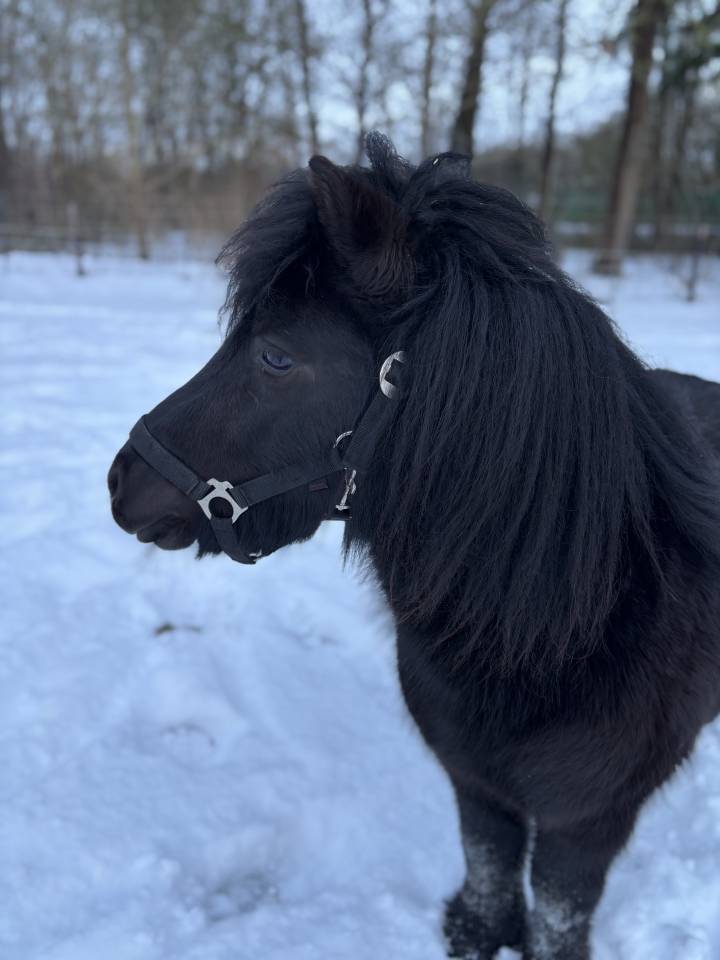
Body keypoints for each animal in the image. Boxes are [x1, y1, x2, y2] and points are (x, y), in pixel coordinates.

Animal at [108, 133, 720, 959]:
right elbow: (488, 873)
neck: (562, 621)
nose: (122, 480)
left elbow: (557, 918)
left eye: (275, 357)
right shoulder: (477, 785)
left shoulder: (585, 824)